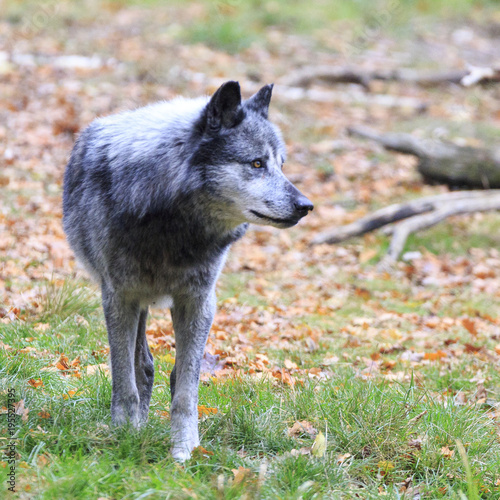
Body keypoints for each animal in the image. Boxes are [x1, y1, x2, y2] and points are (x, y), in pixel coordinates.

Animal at [62, 82, 312, 460]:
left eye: (281, 165)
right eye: (256, 163)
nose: (305, 206)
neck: (171, 224)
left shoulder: (197, 302)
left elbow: (185, 390)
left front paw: (184, 450)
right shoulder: (118, 299)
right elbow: (124, 380)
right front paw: (123, 436)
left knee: (165, 371)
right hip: (134, 301)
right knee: (142, 366)